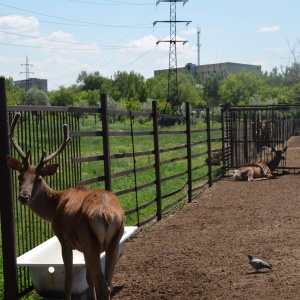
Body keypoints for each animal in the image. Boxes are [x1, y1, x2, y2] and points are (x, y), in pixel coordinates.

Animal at [6, 113, 124, 300]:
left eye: (39, 179)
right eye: (20, 176)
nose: (23, 197)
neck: (54, 208)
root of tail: (108, 216)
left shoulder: (64, 240)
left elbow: (68, 283)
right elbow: (88, 279)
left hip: (91, 242)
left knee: (103, 285)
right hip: (114, 241)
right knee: (108, 283)